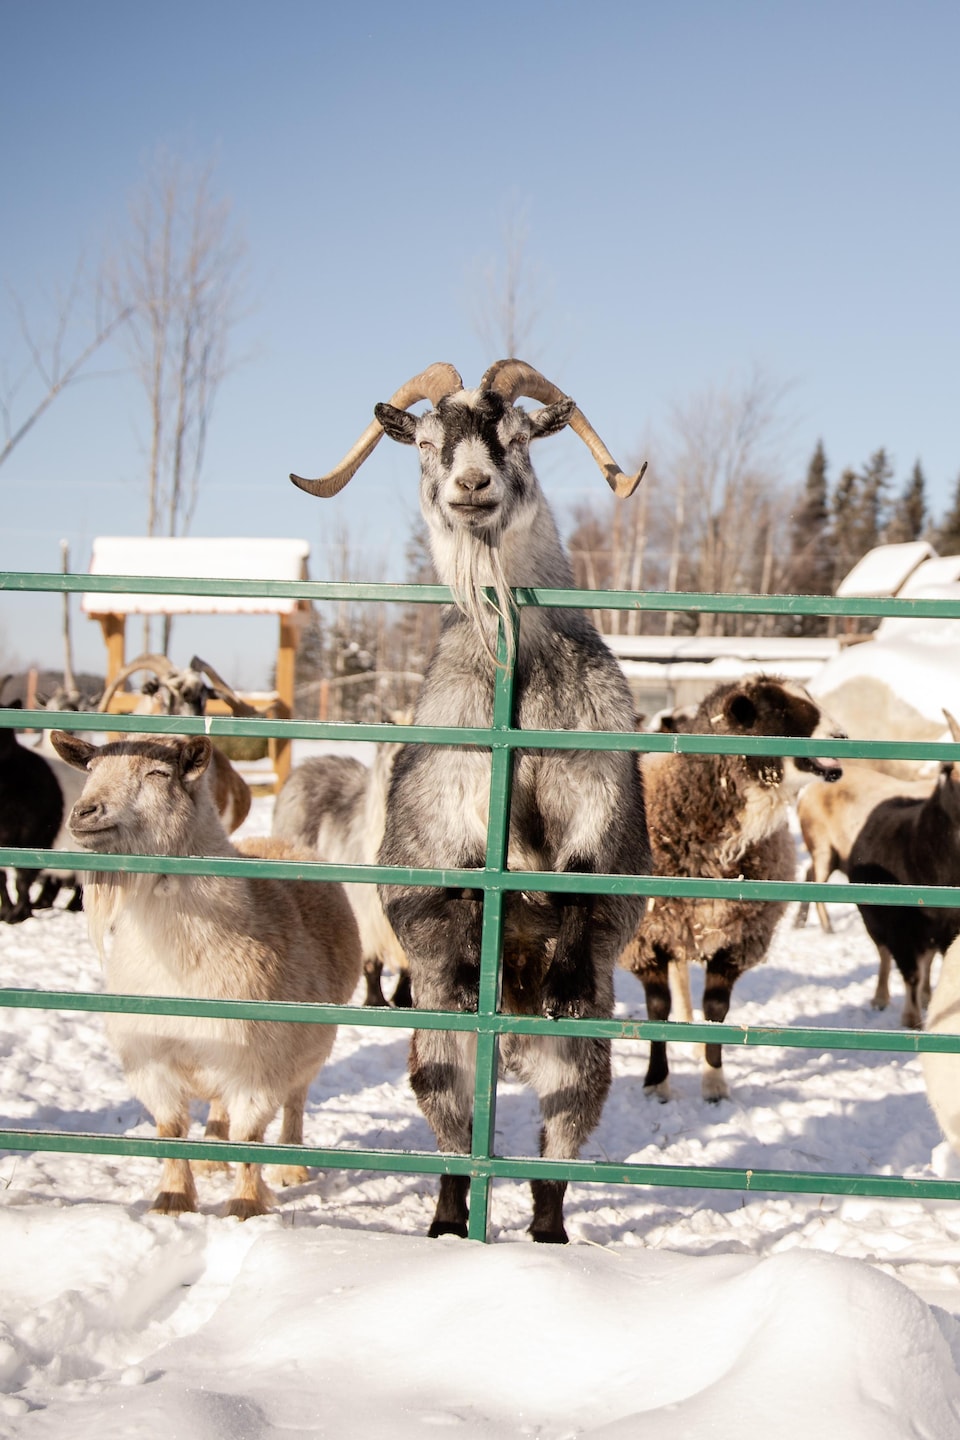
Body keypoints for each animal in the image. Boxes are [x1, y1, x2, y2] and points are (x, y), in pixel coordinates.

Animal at [50, 729, 362, 1218]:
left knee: (296, 1098)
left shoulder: (261, 1063)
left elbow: (250, 1137)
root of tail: (277, 842)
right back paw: (213, 1157)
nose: (84, 813)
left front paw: (245, 1206)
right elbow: (172, 1130)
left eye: (158, 773)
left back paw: (292, 1166)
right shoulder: (151, 1057)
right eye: (92, 769)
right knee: (218, 1103)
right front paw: (173, 1200)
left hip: (311, 1042)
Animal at [289, 359, 651, 1243]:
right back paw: (450, 1224)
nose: (472, 485)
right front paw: (460, 952)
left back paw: (548, 1236)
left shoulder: (596, 798)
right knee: (454, 1140)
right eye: (425, 441)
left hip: (580, 1063)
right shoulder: (450, 814)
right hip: (441, 1053)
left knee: (553, 1153)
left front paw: (563, 981)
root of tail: (506, 1035)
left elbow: (580, 877)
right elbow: (452, 884)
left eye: (516, 435)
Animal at [618, 675, 844, 1102]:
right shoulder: (645, 938)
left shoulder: (736, 939)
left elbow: (716, 1009)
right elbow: (656, 1008)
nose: (841, 736)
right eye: (780, 709)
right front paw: (657, 1082)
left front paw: (714, 1082)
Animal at [847, 711, 960, 1029]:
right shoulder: (900, 926)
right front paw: (911, 1019)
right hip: (873, 919)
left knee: (928, 959)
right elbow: (910, 971)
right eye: (951, 769)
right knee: (885, 956)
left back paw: (927, 997)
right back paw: (881, 998)